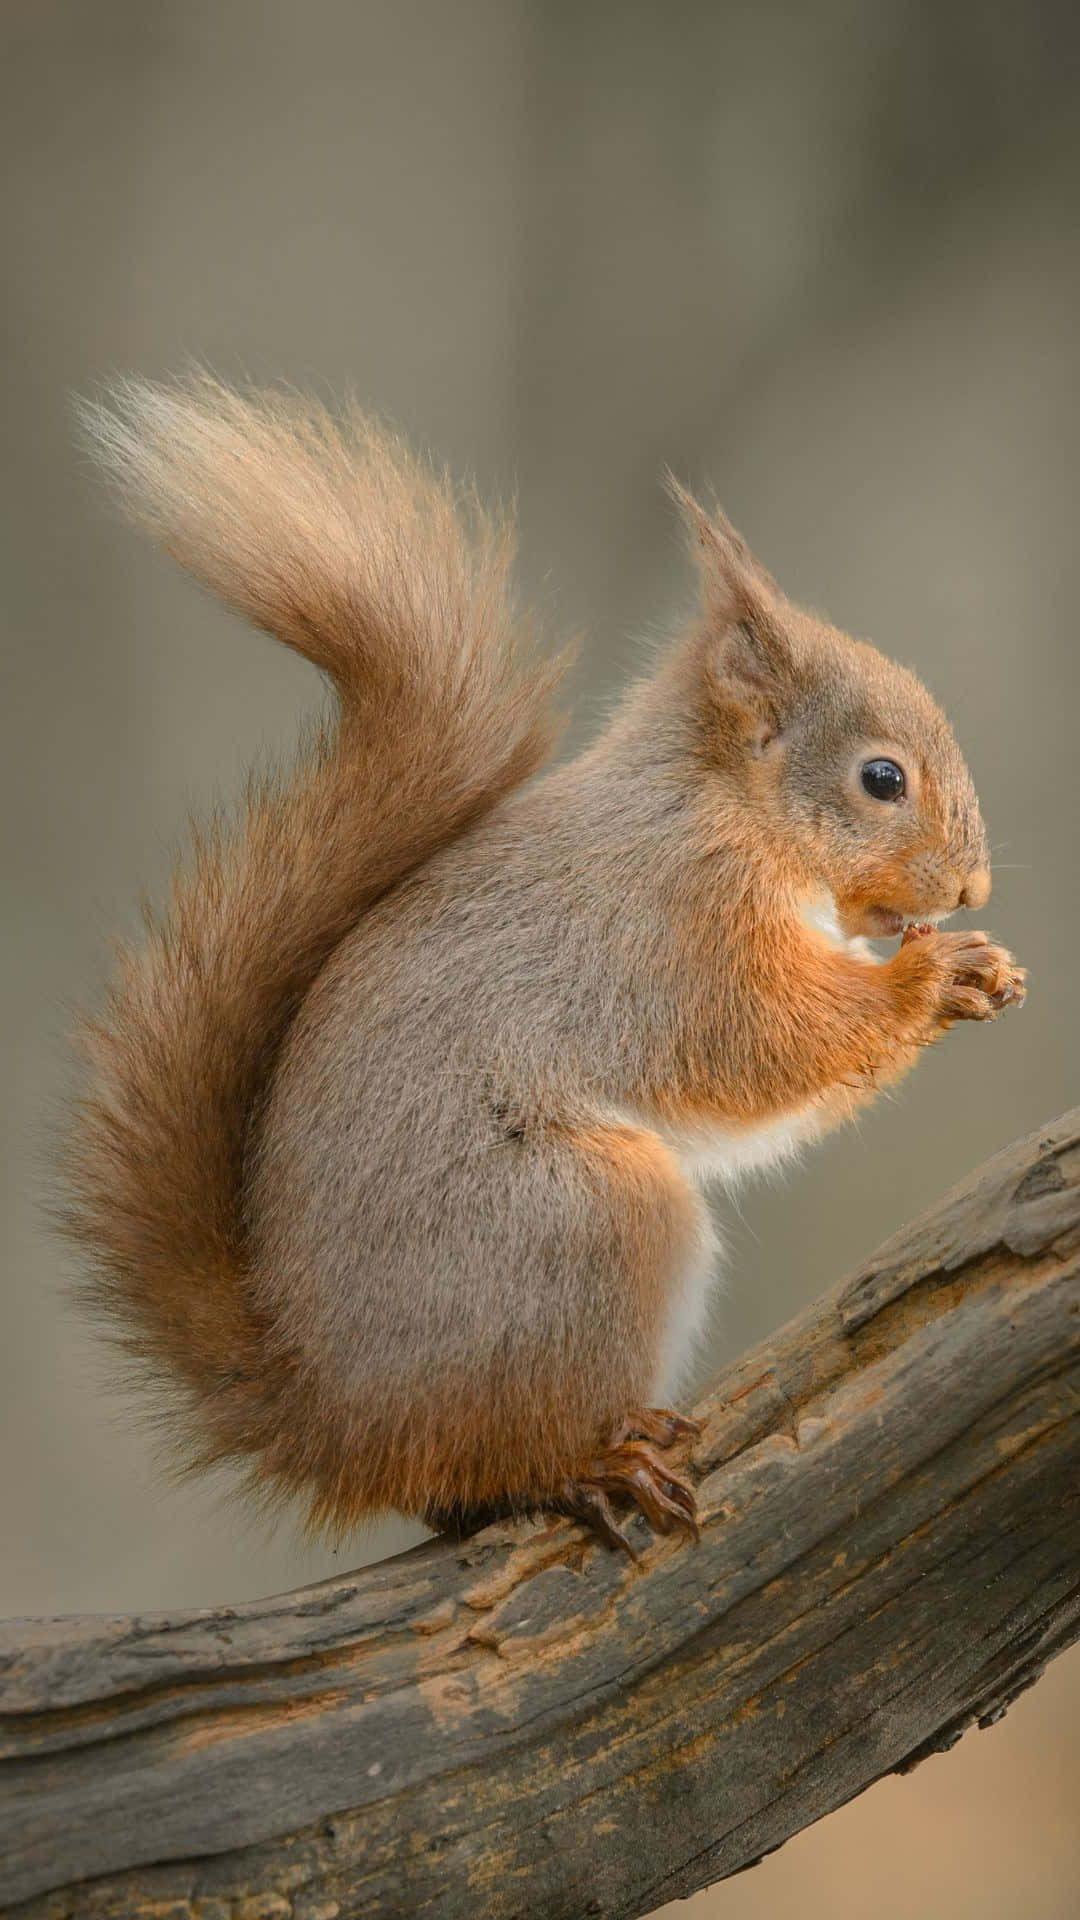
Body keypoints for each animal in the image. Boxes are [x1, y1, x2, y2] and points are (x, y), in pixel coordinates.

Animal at [64, 373, 1026, 1553]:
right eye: (881, 778)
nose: (972, 890)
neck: (722, 803)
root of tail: (330, 1420)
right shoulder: (682, 929)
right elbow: (767, 1044)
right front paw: (929, 981)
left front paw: (981, 967)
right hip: (585, 1221)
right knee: (499, 1453)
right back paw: (593, 1460)